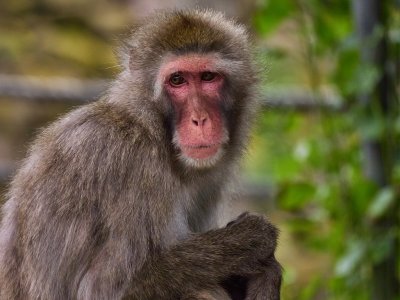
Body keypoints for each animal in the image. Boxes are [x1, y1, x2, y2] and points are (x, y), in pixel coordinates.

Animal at [0, 9, 282, 300]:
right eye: (177, 80)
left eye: (208, 77)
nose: (200, 119)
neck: (152, 130)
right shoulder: (130, 163)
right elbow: (103, 289)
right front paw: (253, 240)